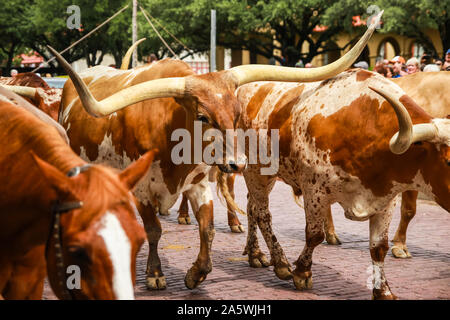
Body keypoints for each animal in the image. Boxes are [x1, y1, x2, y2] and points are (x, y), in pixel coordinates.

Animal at [49, 13, 380, 292]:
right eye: (202, 116)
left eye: (236, 113)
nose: (238, 163)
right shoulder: (142, 190)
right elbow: (153, 230)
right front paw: (155, 274)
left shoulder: (197, 184)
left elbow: (207, 230)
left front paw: (196, 273)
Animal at [223, 69, 448, 298]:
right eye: (447, 161)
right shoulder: (314, 191)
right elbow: (314, 235)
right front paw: (302, 272)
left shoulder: (386, 199)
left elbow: (379, 247)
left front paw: (383, 290)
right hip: (255, 171)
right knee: (262, 214)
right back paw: (281, 263)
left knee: (252, 207)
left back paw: (255, 254)